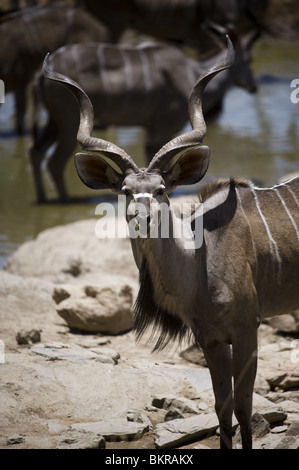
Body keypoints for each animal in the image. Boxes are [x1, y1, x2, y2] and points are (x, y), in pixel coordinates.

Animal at [43, 38, 298, 450]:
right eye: (125, 191)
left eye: (162, 189)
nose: (142, 217)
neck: (201, 260)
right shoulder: (211, 339)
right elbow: (223, 409)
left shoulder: (247, 330)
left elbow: (244, 410)